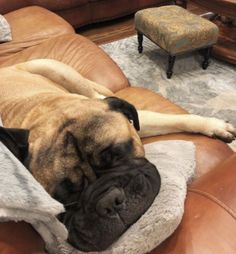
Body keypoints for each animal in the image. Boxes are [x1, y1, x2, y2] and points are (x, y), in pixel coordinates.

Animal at [0, 59, 235, 250]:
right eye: (66, 198)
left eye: (119, 152)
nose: (109, 202)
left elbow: (178, 120)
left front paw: (214, 125)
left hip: (53, 68)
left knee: (98, 94)